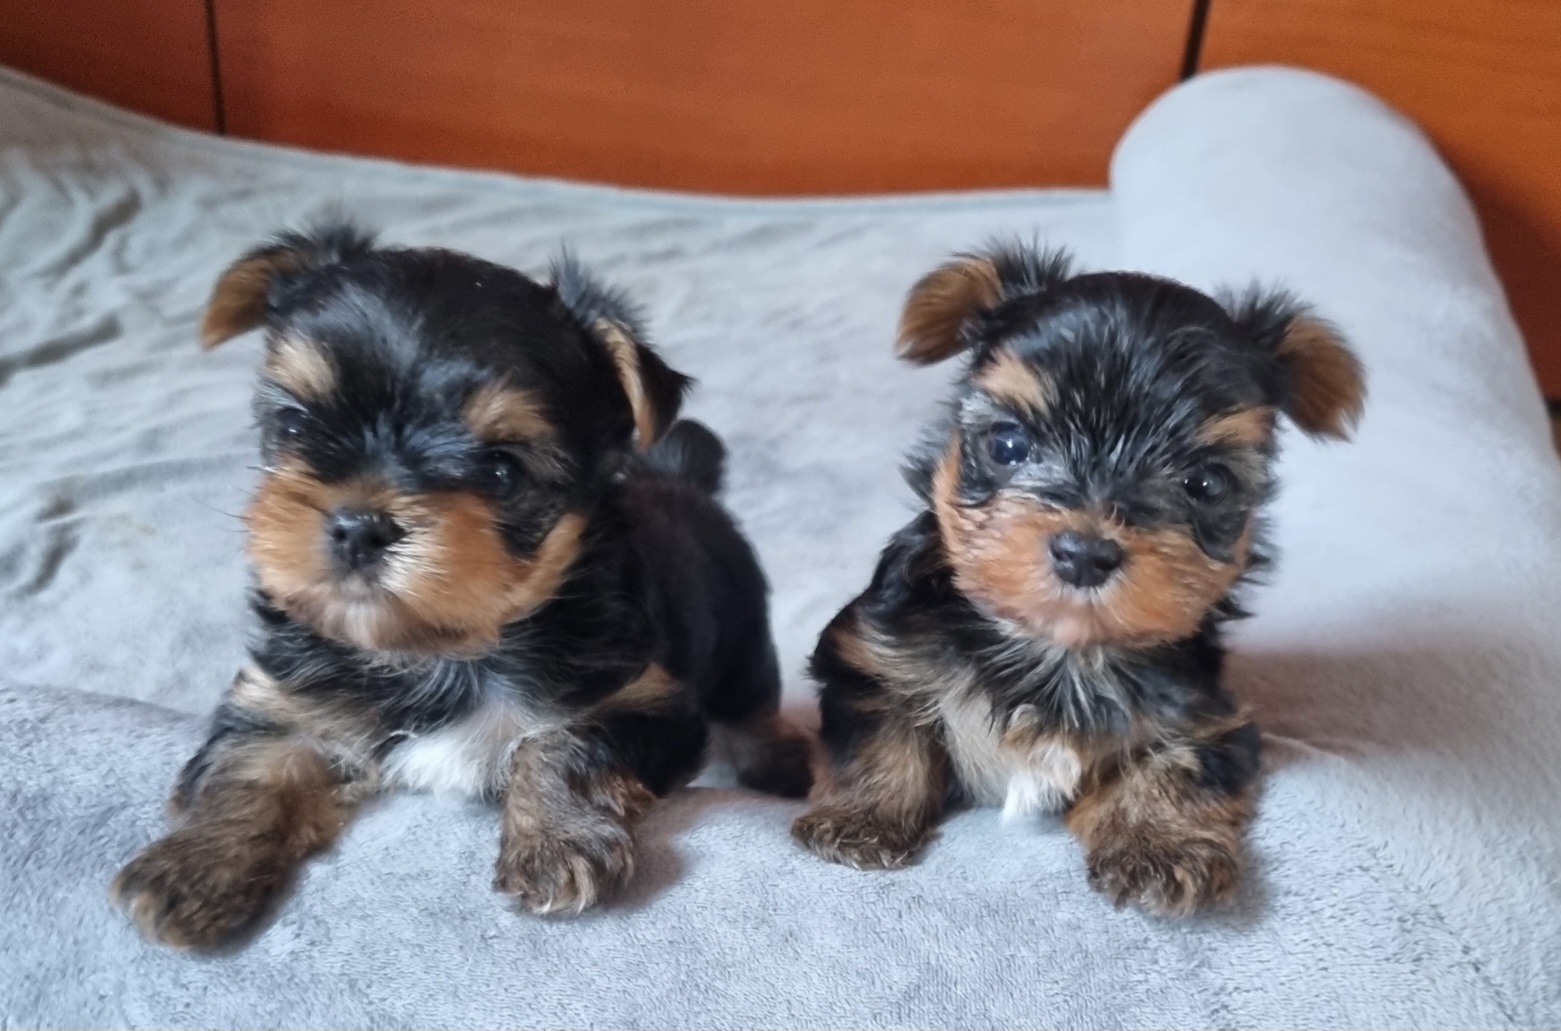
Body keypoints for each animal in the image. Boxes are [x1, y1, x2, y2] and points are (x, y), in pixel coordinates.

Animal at [111, 222, 811, 948]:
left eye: (502, 472)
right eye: (296, 426)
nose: (360, 525)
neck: (432, 651)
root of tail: (679, 477)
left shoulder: (647, 700)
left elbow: (563, 740)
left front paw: (556, 841)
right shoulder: (282, 699)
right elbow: (248, 764)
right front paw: (193, 866)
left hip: (739, 639)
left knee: (751, 706)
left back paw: (781, 766)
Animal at [791, 242, 1364, 915]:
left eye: (1205, 483)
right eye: (1008, 444)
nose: (1085, 553)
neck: (1057, 648)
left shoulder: (1203, 714)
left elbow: (1175, 766)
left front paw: (1160, 845)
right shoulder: (876, 653)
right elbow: (879, 729)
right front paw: (860, 820)